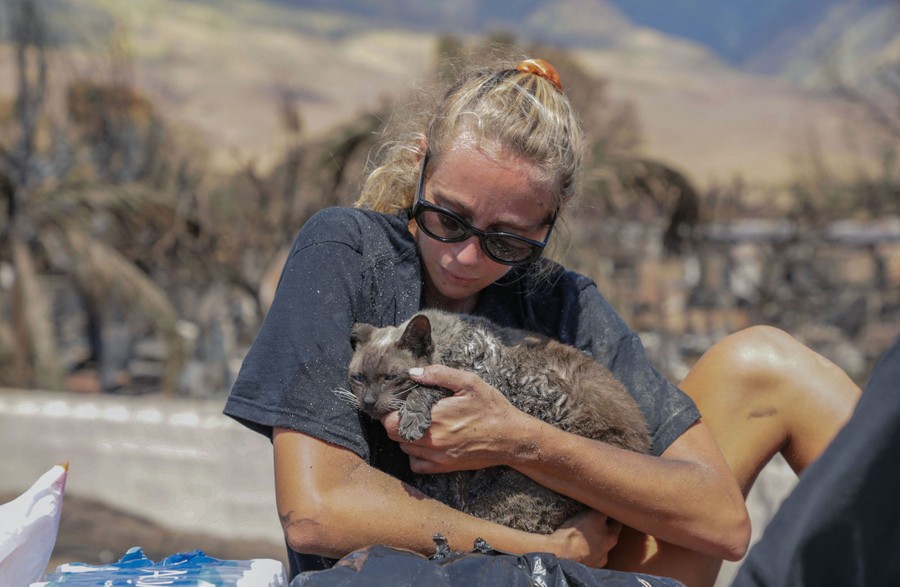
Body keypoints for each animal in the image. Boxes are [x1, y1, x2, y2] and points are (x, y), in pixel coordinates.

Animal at [342, 310, 652, 536]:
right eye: (357, 378)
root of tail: (642, 443)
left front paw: (412, 420)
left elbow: (427, 387)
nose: (368, 402)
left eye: (390, 378)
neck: (450, 343)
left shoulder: (475, 378)